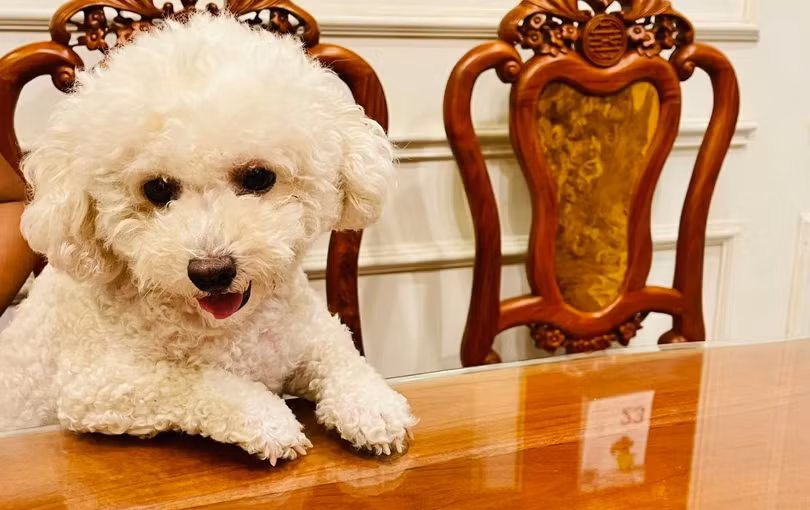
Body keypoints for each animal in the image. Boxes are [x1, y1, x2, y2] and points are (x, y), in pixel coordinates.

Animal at [0, 13, 416, 464]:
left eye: (258, 176)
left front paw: (373, 409)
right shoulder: (98, 388)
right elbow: (199, 381)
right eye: (157, 188)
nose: (211, 272)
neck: (231, 328)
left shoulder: (308, 334)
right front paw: (269, 422)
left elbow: (342, 355)